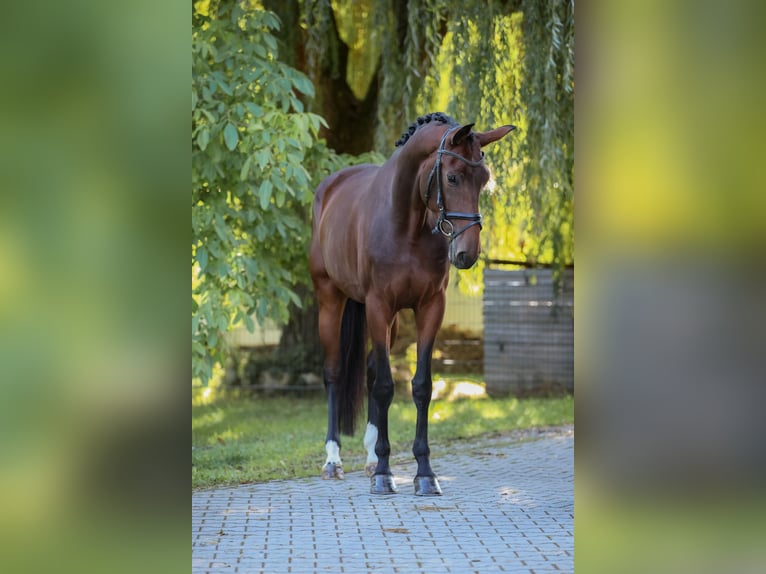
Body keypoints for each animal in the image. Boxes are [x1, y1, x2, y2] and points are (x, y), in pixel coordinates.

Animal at [309, 112, 515, 495]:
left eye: (484, 179)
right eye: (452, 177)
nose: (467, 253)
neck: (405, 225)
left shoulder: (431, 307)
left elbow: (420, 387)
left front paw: (424, 473)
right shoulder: (378, 305)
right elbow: (385, 387)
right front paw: (385, 476)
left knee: (371, 370)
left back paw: (370, 457)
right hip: (330, 299)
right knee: (334, 373)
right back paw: (333, 460)